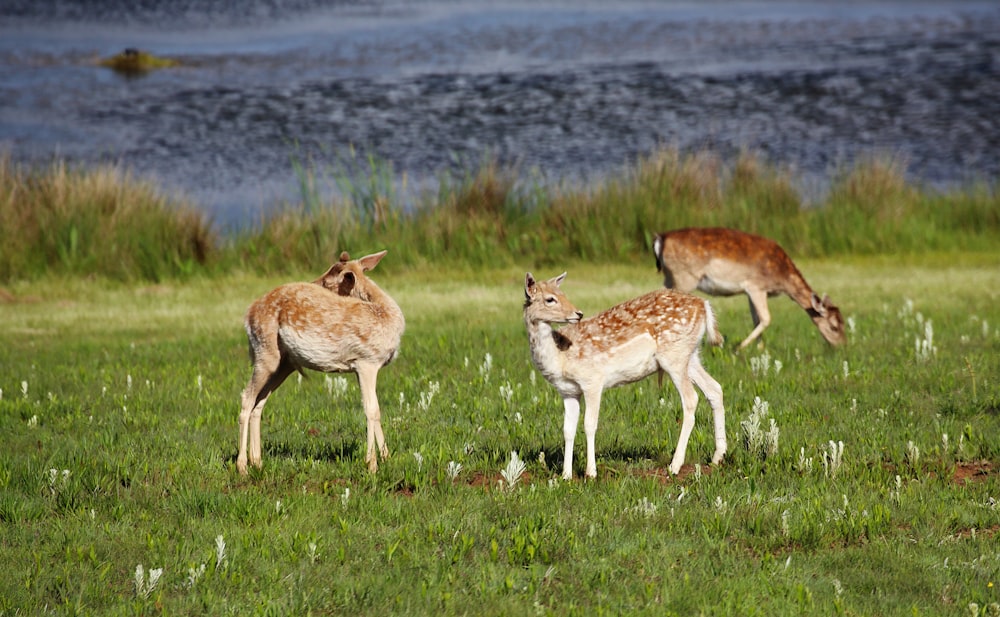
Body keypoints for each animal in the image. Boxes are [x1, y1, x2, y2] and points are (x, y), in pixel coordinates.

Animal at [236, 248, 404, 474]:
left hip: (283, 363)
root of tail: (247, 315)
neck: (384, 314)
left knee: (259, 402)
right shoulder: (366, 361)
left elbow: (374, 409)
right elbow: (372, 409)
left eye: (327, 280)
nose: (312, 282)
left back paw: (257, 461)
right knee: (247, 397)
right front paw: (372, 465)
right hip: (265, 351)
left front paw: (386, 457)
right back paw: (242, 466)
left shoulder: (361, 366)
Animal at [524, 272, 728, 478]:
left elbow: (589, 425)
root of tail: (704, 305)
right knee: (715, 388)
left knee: (691, 398)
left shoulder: (592, 379)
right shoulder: (568, 391)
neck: (560, 357)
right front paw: (566, 475)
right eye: (550, 299)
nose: (578, 313)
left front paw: (591, 473)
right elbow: (567, 430)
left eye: (562, 294)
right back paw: (718, 457)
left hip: (674, 355)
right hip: (690, 355)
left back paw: (675, 466)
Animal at [652, 227, 848, 352]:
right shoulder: (756, 287)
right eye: (834, 326)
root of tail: (660, 239)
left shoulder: (750, 292)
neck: (781, 275)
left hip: (670, 277)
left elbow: (756, 319)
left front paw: (760, 349)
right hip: (684, 278)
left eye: (843, 322)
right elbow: (766, 318)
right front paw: (738, 347)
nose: (841, 346)